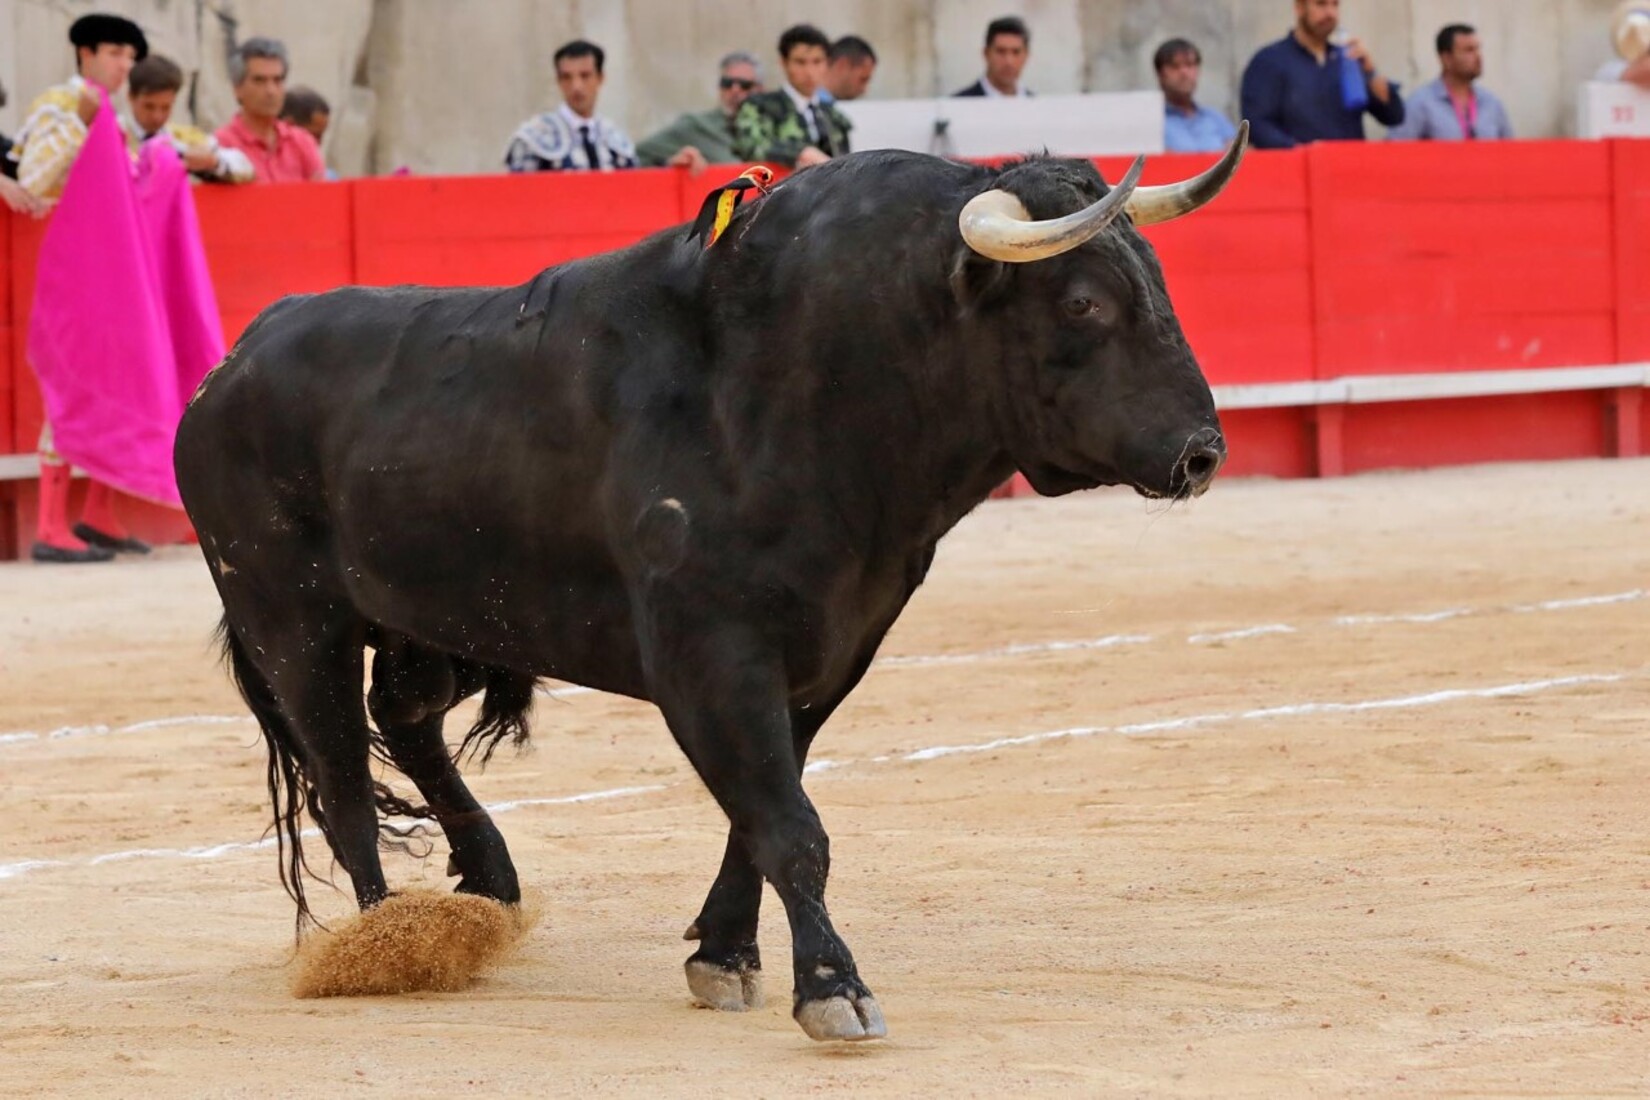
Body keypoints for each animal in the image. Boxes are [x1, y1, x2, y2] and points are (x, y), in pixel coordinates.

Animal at [174, 137, 1240, 1042]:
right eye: (1083, 304)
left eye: (1153, 283)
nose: (1201, 453)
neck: (799, 390)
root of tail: (235, 359)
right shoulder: (709, 653)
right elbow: (787, 823)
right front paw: (834, 990)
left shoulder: (831, 648)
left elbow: (762, 808)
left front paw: (725, 956)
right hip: (290, 615)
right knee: (342, 773)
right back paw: (384, 942)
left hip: (436, 619)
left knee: (405, 718)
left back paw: (485, 885)